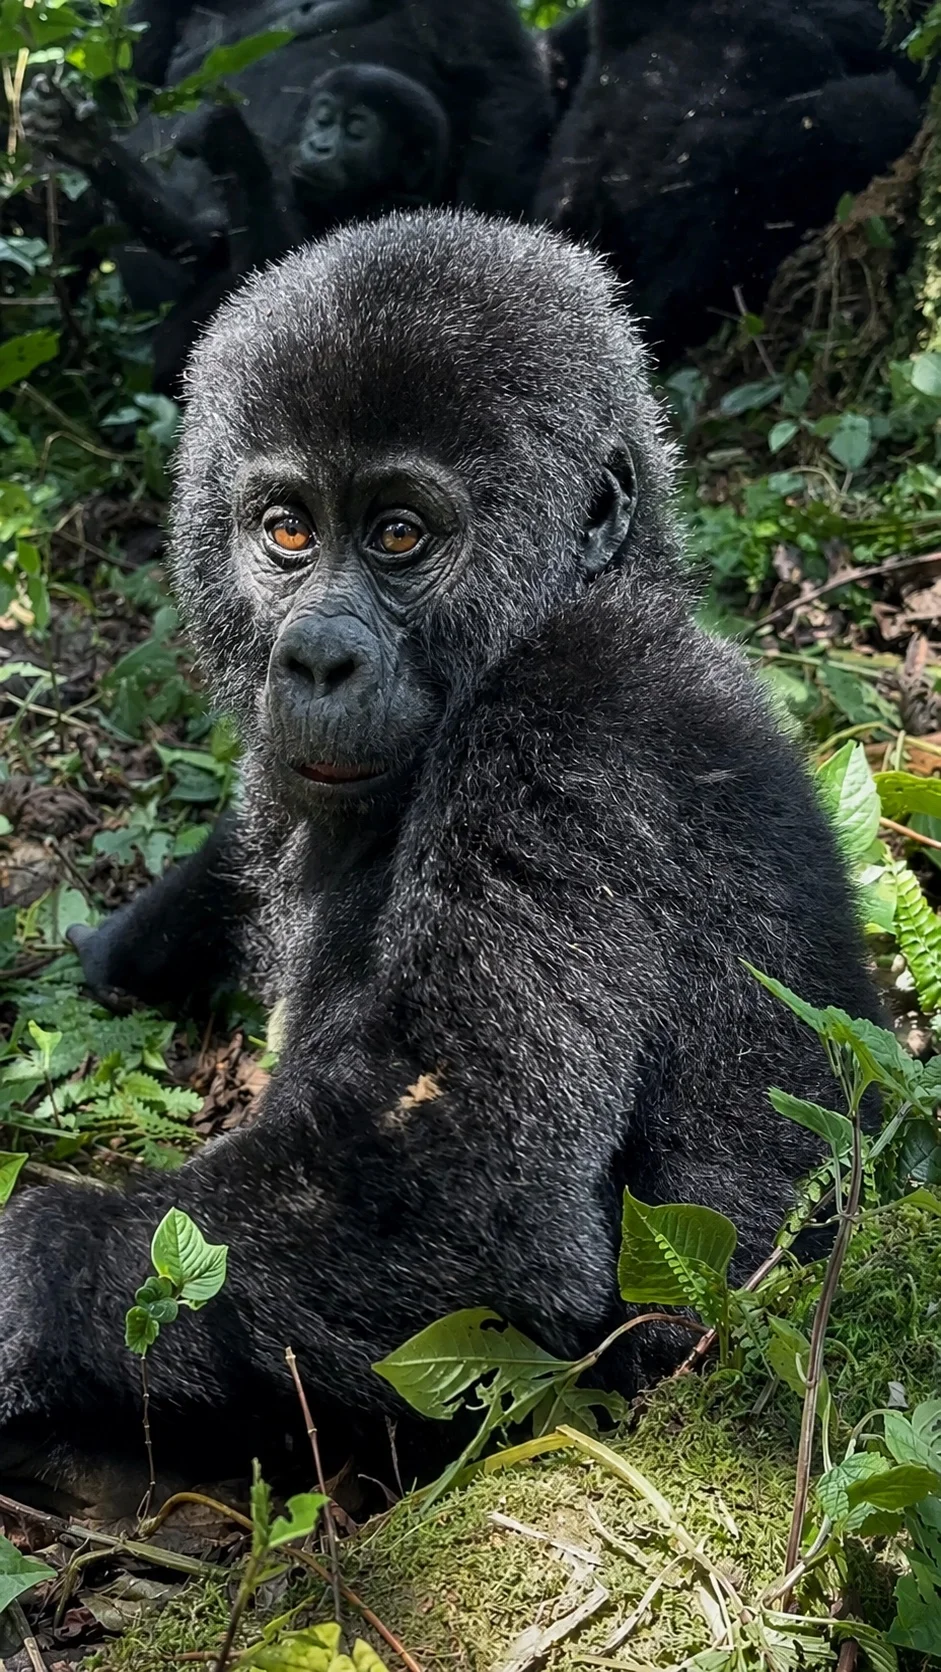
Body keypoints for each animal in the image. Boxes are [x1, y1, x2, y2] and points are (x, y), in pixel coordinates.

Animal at [0, 210, 880, 1493]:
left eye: (400, 535)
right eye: (287, 529)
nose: (317, 659)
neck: (580, 595)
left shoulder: (565, 743)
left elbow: (472, 1200)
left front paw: (20, 1286)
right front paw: (126, 939)